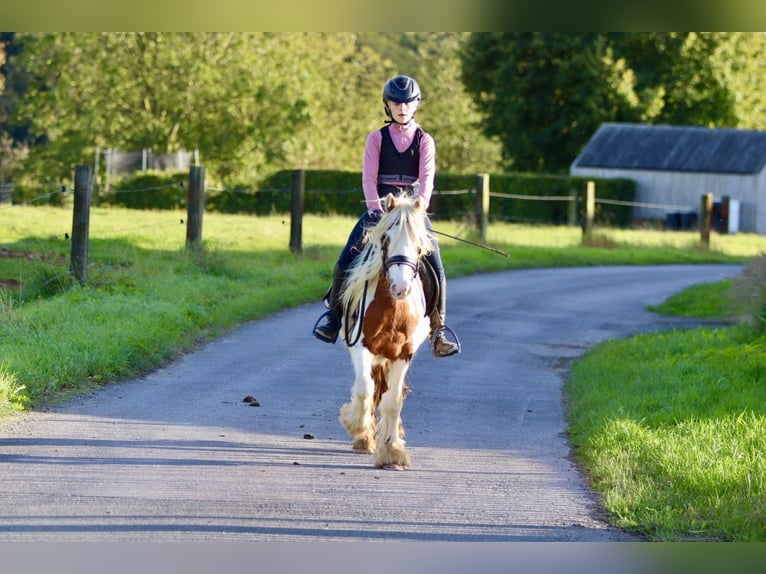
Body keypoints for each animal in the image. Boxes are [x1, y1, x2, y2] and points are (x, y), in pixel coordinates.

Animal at [340, 196, 436, 470]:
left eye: (418, 244)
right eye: (385, 238)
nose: (400, 288)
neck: (393, 308)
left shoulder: (403, 354)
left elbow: (393, 401)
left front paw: (392, 451)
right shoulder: (361, 346)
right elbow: (364, 389)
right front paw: (357, 427)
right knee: (371, 387)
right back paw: (366, 437)